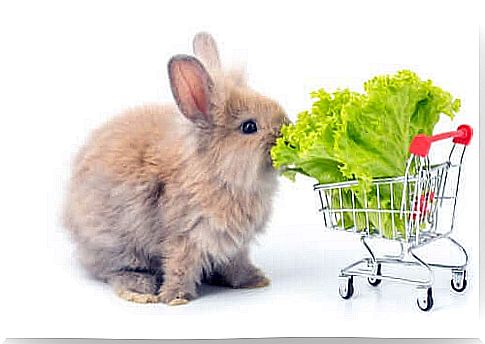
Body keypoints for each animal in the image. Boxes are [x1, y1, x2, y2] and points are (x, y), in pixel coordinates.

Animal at [61, 32, 288, 306]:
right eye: (249, 127)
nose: (288, 132)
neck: (217, 174)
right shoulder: (186, 238)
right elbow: (180, 267)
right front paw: (176, 298)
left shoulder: (235, 247)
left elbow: (237, 265)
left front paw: (255, 281)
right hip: (116, 245)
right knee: (113, 271)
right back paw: (141, 291)